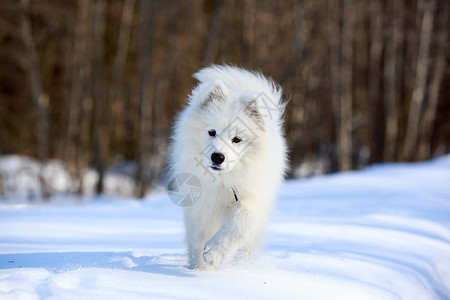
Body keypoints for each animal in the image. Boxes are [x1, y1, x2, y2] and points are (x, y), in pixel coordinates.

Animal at [169, 63, 288, 270]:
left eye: (237, 139)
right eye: (212, 132)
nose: (217, 157)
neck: (223, 181)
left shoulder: (252, 201)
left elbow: (239, 225)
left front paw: (215, 253)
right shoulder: (200, 208)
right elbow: (198, 239)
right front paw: (200, 269)